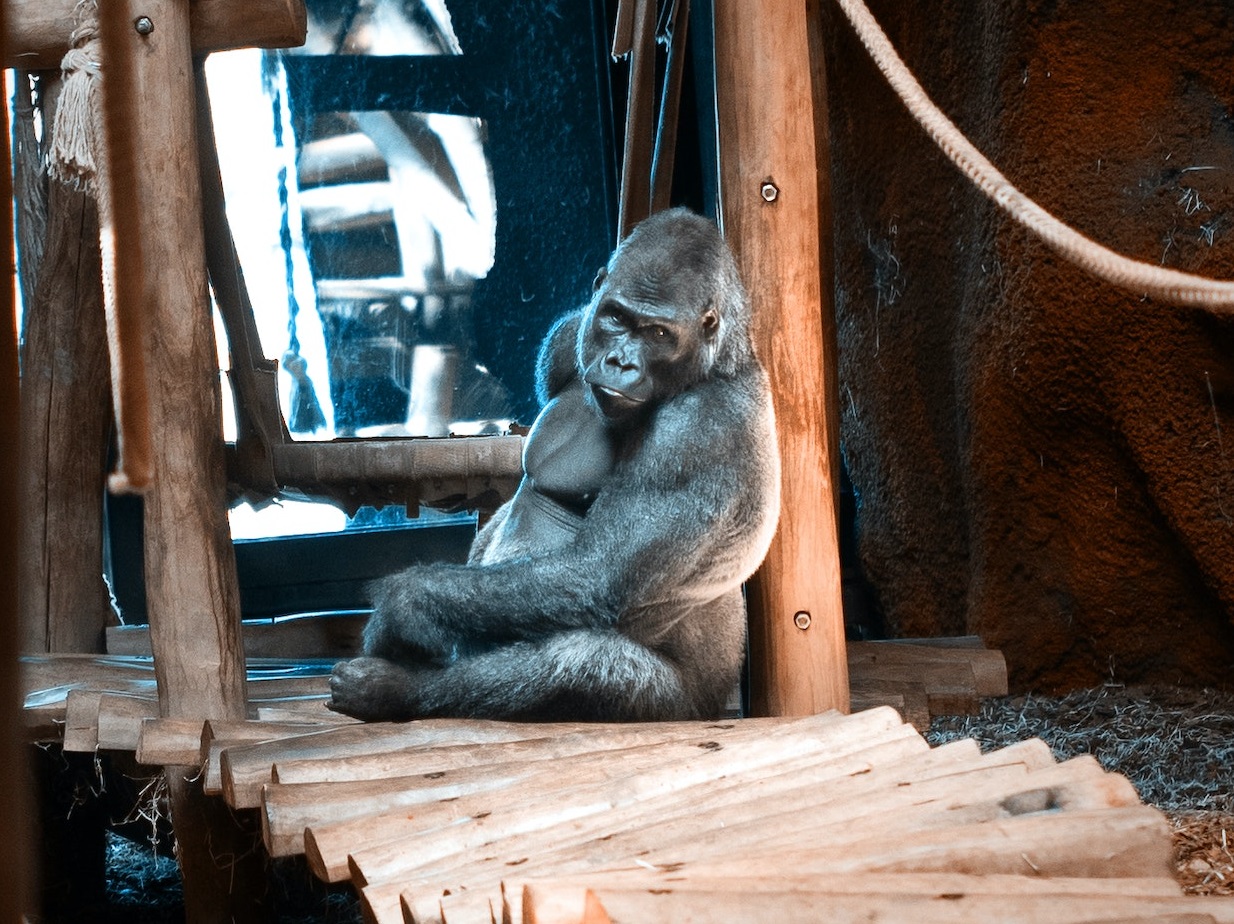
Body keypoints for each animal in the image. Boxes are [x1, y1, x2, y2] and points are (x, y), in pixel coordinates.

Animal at [328, 207, 781, 723]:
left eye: (659, 334)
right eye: (617, 318)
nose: (621, 362)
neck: (720, 359)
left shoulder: (699, 429)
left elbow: (597, 575)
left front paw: (403, 606)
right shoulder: (572, 333)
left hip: (682, 708)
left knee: (581, 662)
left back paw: (396, 690)